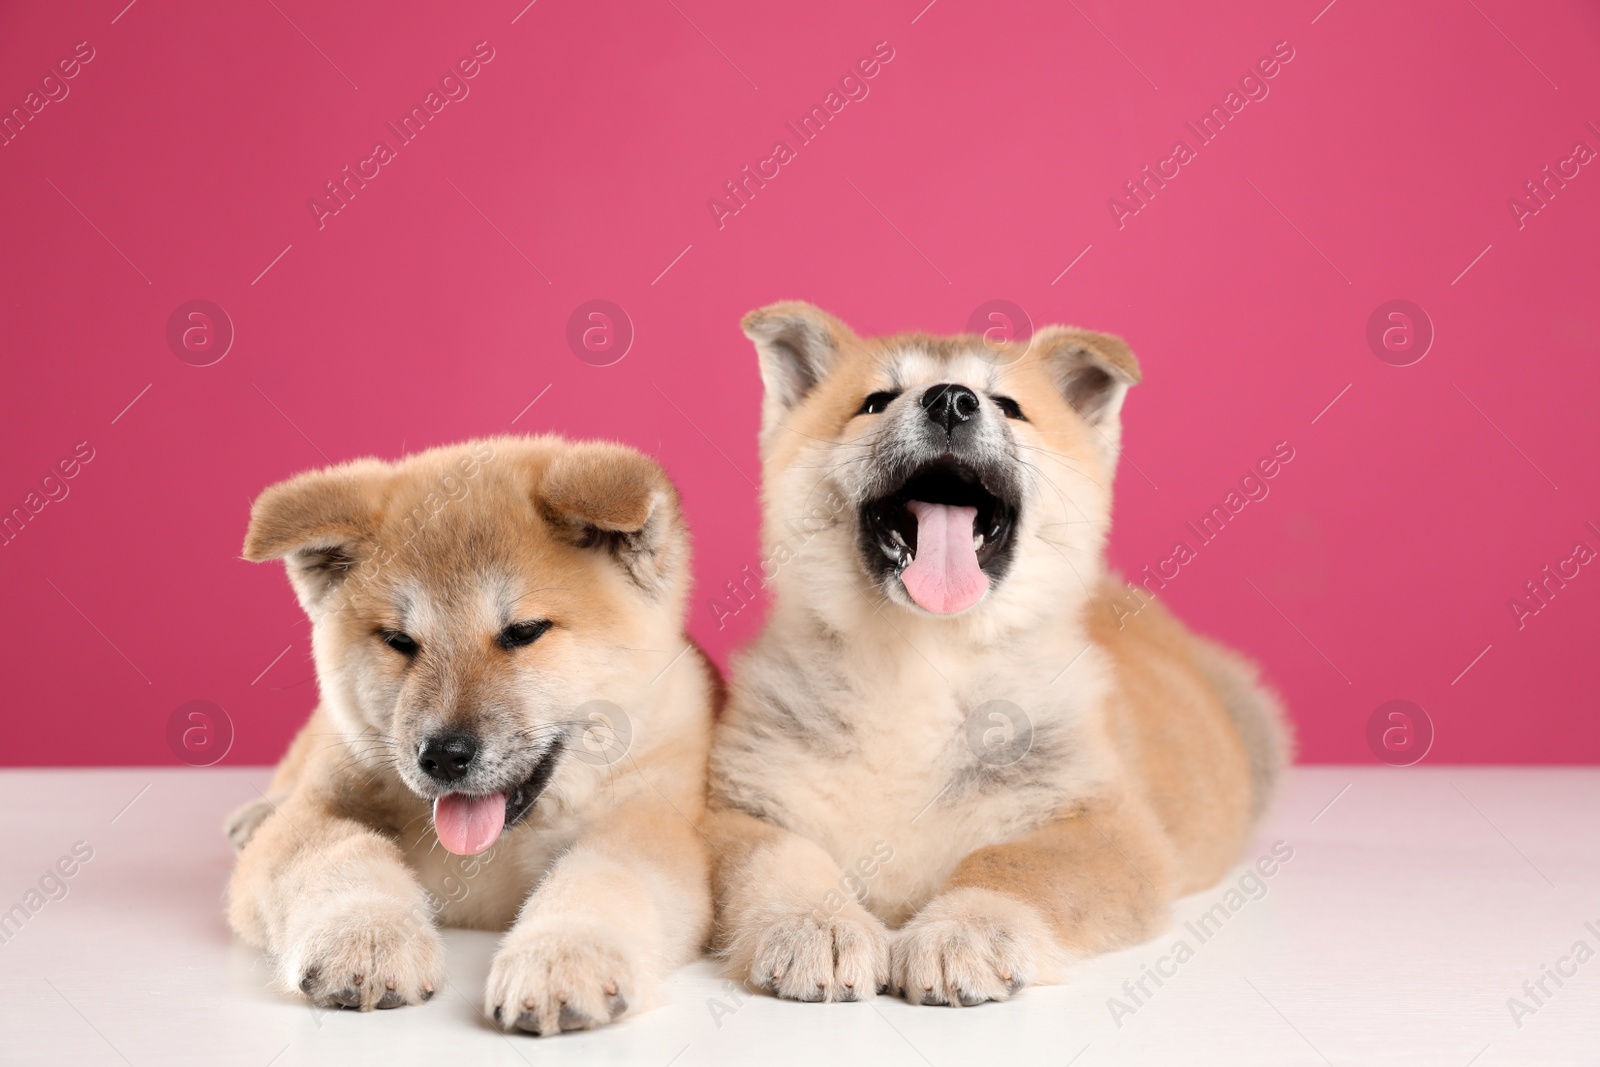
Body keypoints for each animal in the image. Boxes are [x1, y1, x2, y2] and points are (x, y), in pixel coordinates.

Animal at [227, 435, 720, 1036]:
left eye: (524, 632)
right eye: (399, 641)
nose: (442, 756)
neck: (493, 852)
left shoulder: (649, 823)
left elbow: (600, 878)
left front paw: (560, 958)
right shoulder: (320, 808)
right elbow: (337, 853)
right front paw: (366, 938)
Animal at [700, 303, 1286, 1004]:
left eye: (1009, 405)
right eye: (875, 401)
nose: (951, 400)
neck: (921, 664)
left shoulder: (1102, 825)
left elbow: (1011, 864)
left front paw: (964, 931)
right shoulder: (739, 808)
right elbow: (780, 859)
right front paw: (813, 923)